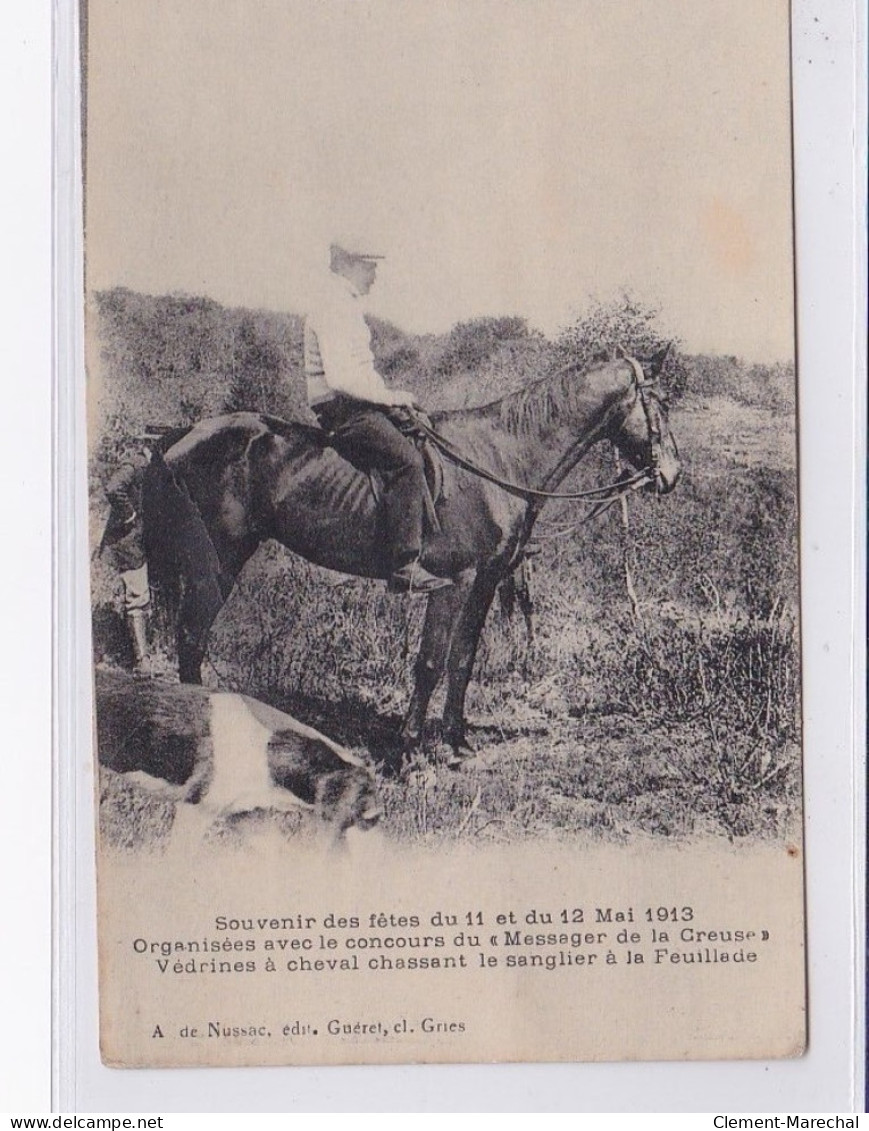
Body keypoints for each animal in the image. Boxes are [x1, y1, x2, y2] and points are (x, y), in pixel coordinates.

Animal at [140, 346, 678, 760]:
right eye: (659, 404)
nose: (672, 474)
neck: (497, 460)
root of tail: (182, 436)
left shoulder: (486, 581)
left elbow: (463, 659)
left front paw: (456, 741)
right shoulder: (454, 581)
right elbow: (430, 663)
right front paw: (409, 747)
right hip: (216, 560)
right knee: (191, 637)